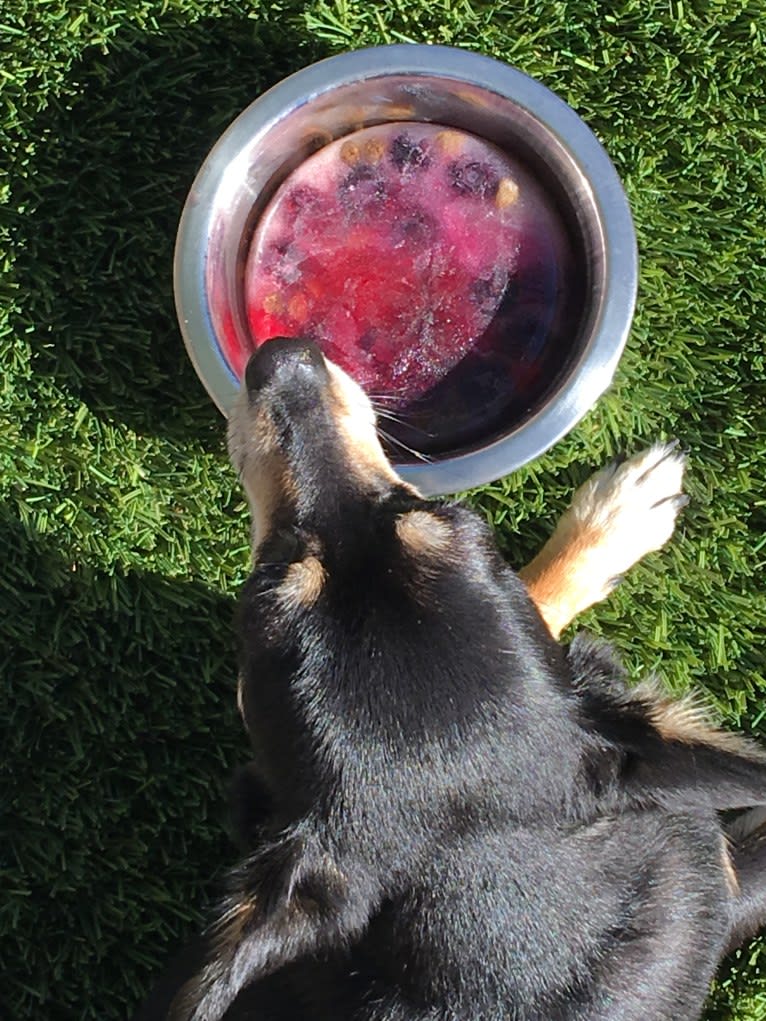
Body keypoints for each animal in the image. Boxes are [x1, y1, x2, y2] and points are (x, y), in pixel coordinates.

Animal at [137, 341, 766, 1021]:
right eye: (264, 595)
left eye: (445, 519)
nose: (286, 358)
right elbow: (540, 598)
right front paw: (614, 519)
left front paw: (614, 520)